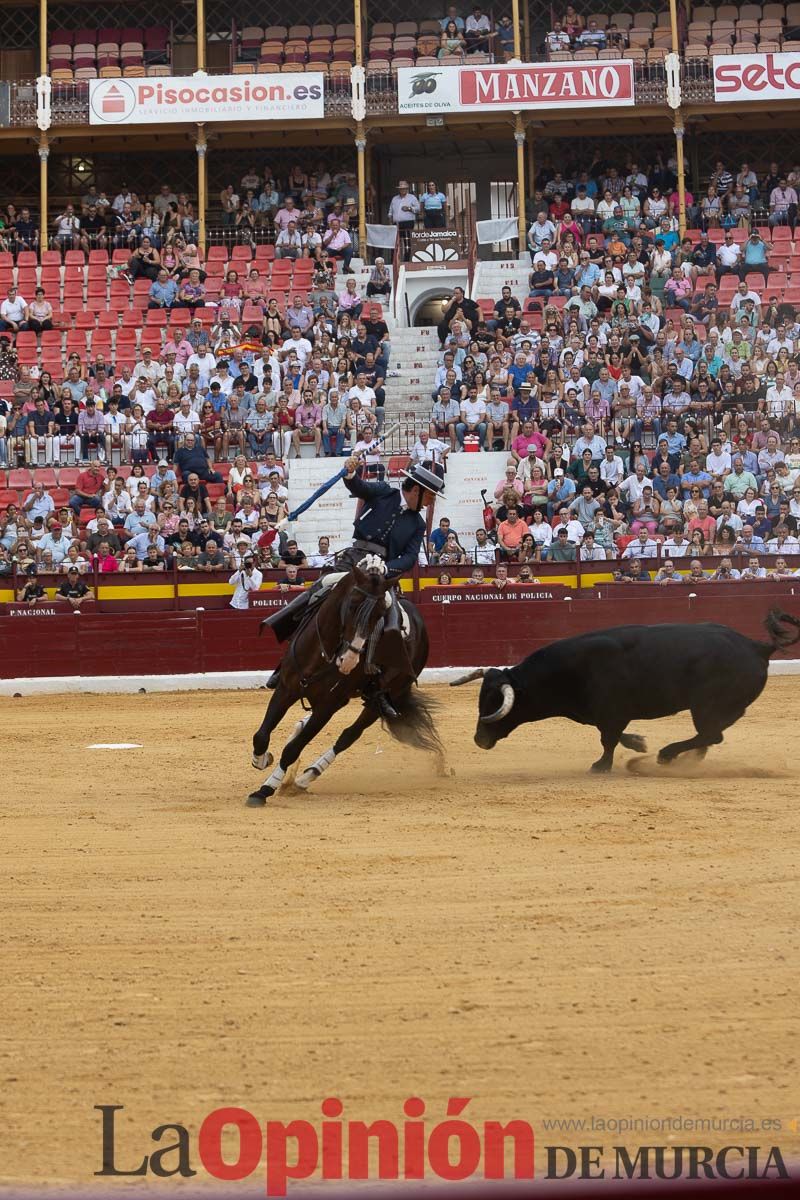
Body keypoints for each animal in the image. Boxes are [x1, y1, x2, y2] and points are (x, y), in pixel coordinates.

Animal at [247, 559, 441, 806]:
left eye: (380, 614)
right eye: (352, 605)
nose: (348, 661)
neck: (323, 654)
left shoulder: (329, 705)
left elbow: (293, 749)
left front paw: (264, 789)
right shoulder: (286, 688)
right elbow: (262, 734)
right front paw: (261, 759)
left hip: (382, 699)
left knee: (348, 736)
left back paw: (305, 778)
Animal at [453, 614, 796, 772]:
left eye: (496, 702)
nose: (479, 740)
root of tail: (757, 647)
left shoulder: (611, 712)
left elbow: (607, 740)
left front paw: (601, 766)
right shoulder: (600, 714)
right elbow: (614, 735)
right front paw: (637, 742)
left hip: (707, 706)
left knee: (711, 734)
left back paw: (668, 755)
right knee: (711, 737)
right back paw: (686, 759)